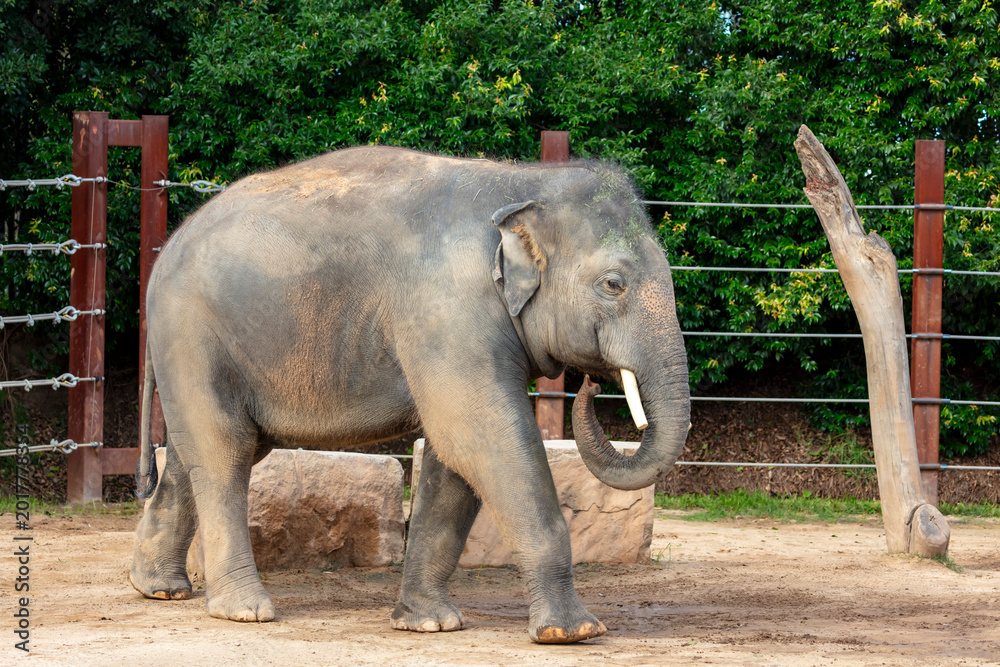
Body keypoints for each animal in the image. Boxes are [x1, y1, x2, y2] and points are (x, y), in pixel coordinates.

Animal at [130, 145, 690, 644]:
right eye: (613, 284)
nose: (592, 384)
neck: (524, 182)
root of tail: (164, 254)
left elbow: (454, 460)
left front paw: (428, 624)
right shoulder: (448, 310)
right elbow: (483, 439)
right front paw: (572, 632)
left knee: (201, 453)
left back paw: (158, 589)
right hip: (191, 334)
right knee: (224, 450)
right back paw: (245, 611)